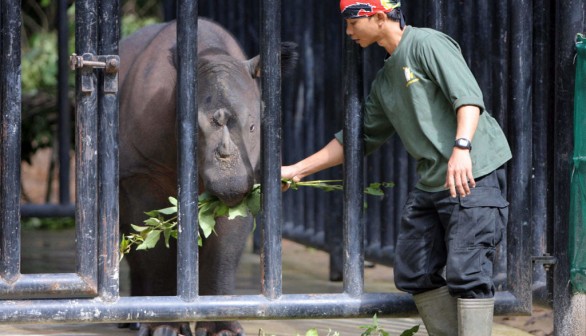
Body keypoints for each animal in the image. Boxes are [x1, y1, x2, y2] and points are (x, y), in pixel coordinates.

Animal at [117, 18, 296, 336]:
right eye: (193, 131)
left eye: (253, 127)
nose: (231, 186)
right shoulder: (142, 171)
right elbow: (153, 246)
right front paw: (162, 328)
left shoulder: (251, 175)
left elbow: (225, 249)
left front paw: (222, 329)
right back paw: (137, 319)